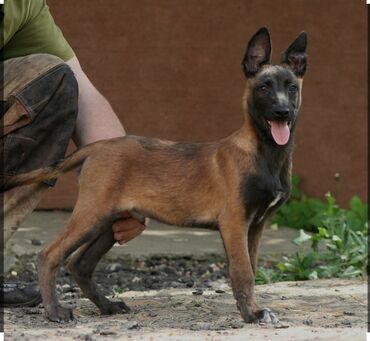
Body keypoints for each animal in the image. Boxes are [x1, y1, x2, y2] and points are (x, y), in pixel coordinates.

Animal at [2, 27, 308, 322]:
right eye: (264, 87)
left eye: (292, 88)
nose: (282, 112)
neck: (267, 154)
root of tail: (101, 145)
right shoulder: (234, 221)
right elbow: (243, 272)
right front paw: (252, 313)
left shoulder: (257, 225)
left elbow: (252, 270)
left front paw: (252, 309)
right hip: (92, 212)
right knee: (50, 254)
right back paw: (54, 311)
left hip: (111, 218)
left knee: (80, 264)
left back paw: (107, 306)